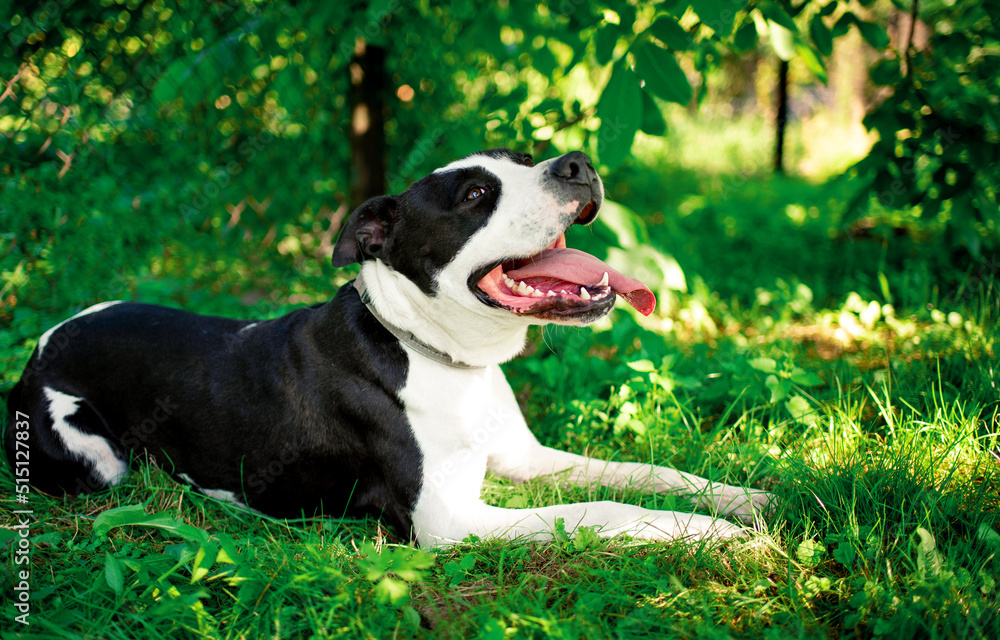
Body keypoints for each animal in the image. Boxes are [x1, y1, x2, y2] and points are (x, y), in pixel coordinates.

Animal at [7, 149, 768, 544]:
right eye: (475, 195)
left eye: (527, 159)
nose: (575, 162)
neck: (437, 352)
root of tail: (38, 349)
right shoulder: (453, 522)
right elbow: (602, 510)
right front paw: (709, 535)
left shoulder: (525, 460)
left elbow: (640, 472)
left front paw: (736, 498)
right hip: (96, 460)